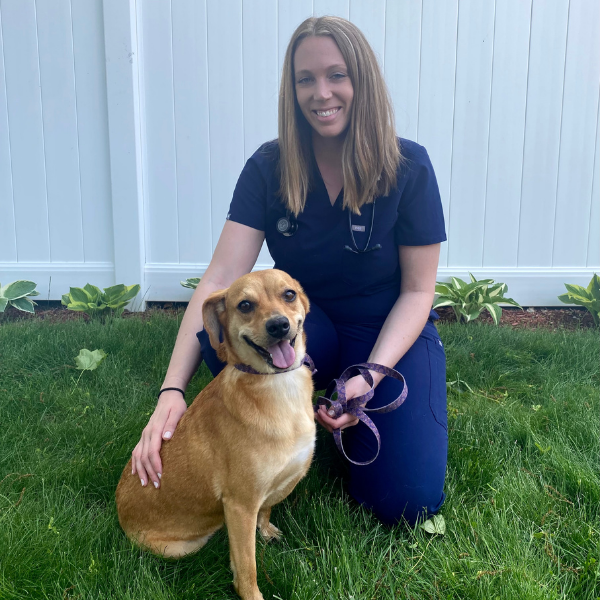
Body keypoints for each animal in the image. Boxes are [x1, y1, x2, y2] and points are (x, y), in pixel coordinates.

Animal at [114, 270, 316, 600]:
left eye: (289, 294)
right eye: (245, 305)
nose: (278, 325)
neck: (278, 386)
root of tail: (119, 513)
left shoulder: (270, 489)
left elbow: (267, 508)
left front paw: (265, 530)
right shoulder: (240, 505)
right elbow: (247, 567)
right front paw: (251, 594)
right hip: (180, 549)